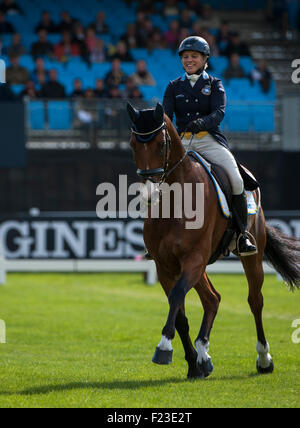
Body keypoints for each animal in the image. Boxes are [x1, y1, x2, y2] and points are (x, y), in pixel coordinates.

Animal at [127, 102, 300, 380]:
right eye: (133, 144)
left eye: (161, 145)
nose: (150, 194)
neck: (175, 201)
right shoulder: (165, 266)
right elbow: (180, 313)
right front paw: (192, 364)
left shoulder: (194, 259)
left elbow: (176, 297)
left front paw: (163, 348)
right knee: (212, 298)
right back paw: (203, 357)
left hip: (251, 256)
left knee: (255, 301)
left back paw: (263, 359)